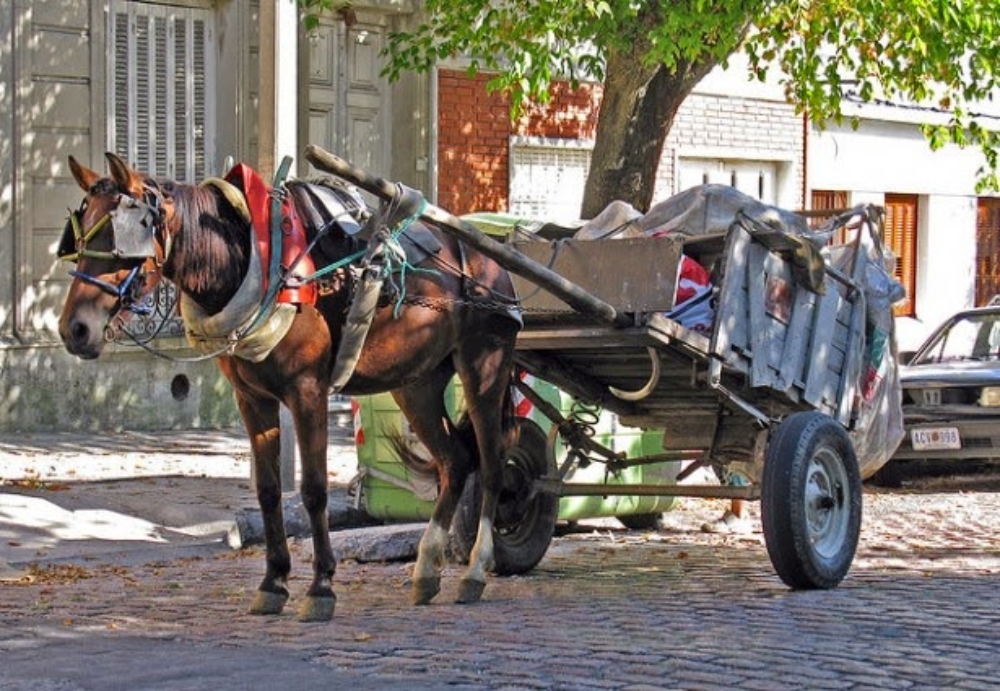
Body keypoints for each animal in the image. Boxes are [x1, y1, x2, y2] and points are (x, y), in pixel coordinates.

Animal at [57, 152, 523, 622]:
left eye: (122, 238)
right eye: (77, 237)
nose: (74, 329)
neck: (256, 263)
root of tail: (489, 259)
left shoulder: (308, 392)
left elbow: (314, 490)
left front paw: (321, 587)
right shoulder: (253, 399)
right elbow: (267, 492)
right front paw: (273, 582)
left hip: (484, 365)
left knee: (492, 463)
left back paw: (475, 571)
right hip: (417, 381)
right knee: (455, 461)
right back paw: (427, 569)